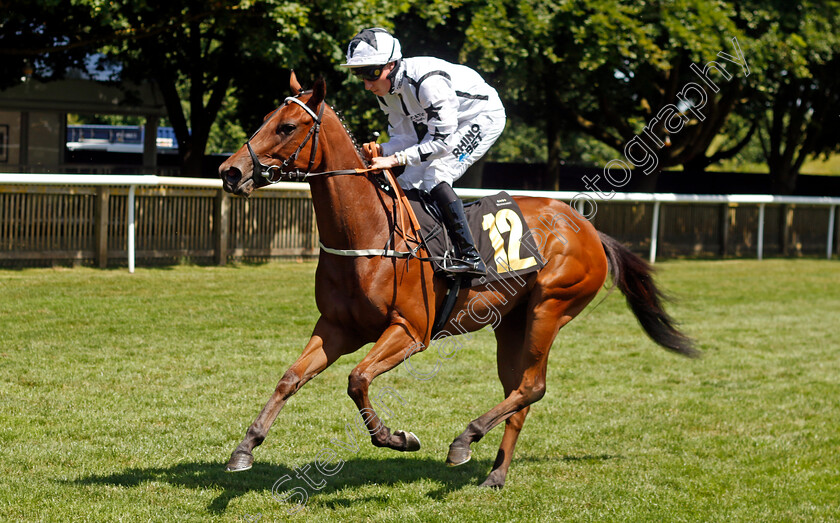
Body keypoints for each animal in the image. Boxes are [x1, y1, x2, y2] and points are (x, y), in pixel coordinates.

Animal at [217, 73, 696, 492]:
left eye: (287, 126)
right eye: (264, 118)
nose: (230, 171)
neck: (369, 232)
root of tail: (589, 229)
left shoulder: (409, 331)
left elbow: (357, 378)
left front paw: (397, 438)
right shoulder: (336, 327)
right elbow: (290, 378)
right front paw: (245, 448)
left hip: (550, 309)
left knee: (533, 387)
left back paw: (465, 439)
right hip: (512, 324)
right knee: (519, 392)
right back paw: (495, 473)